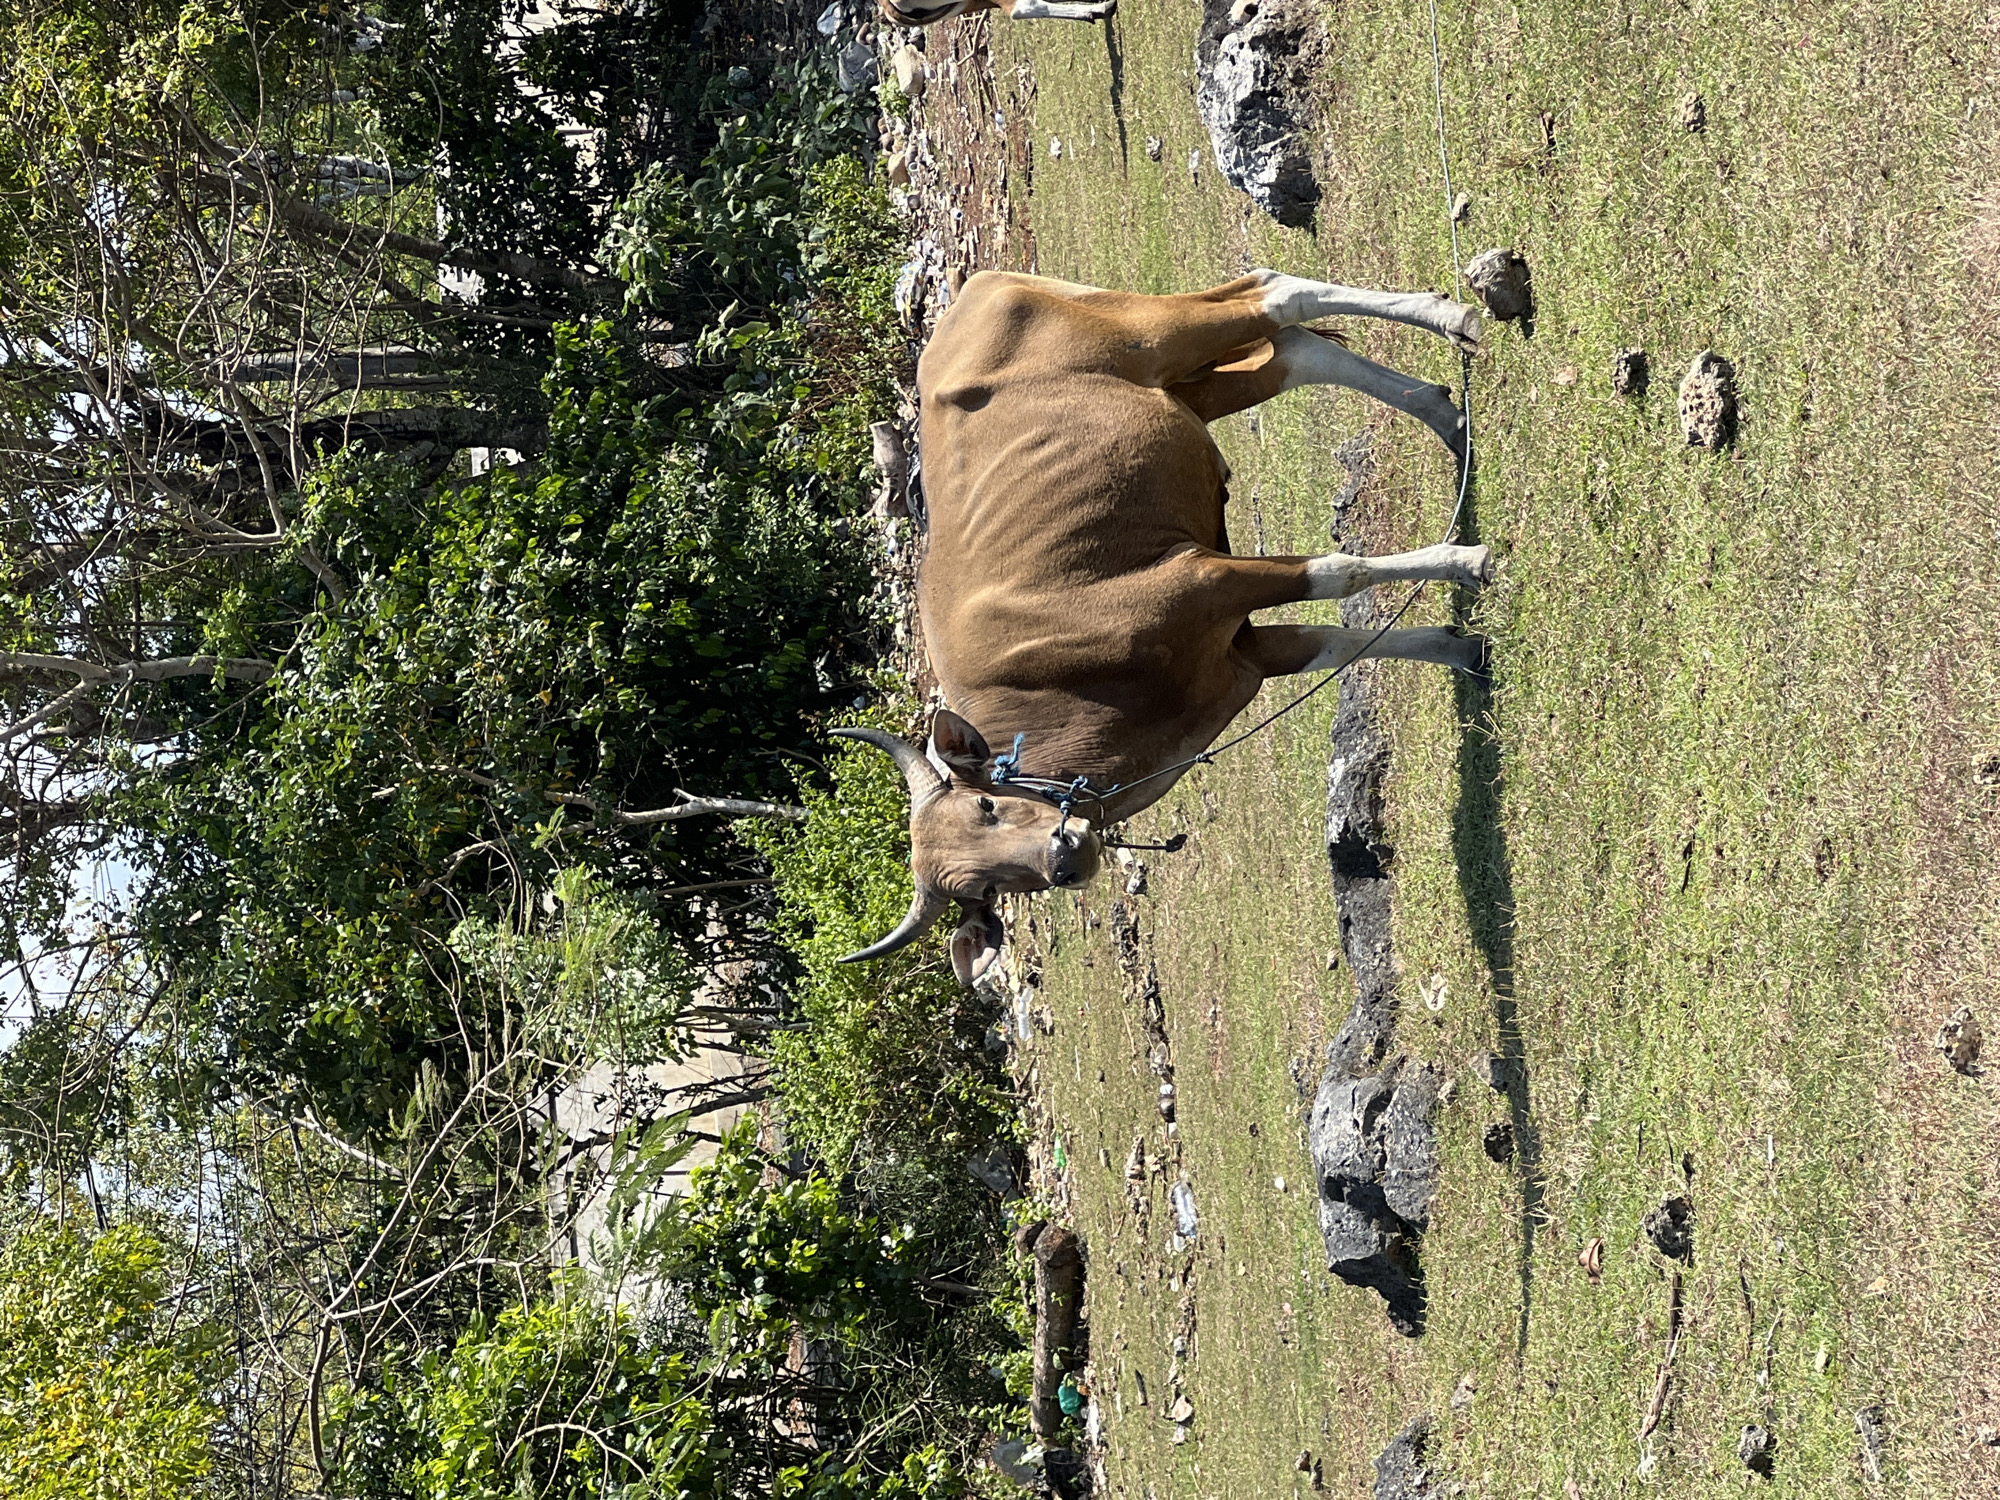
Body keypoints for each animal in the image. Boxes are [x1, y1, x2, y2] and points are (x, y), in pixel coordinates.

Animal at [836, 268, 1493, 984]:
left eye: (987, 804)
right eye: (986, 885)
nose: (1062, 859)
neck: (1061, 693)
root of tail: (971, 296)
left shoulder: (1205, 579)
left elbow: (1340, 571)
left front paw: (1470, 562)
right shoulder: (1245, 653)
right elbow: (1339, 647)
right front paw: (1462, 649)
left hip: (1152, 338)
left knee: (1273, 293)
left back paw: (1458, 320)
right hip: (1179, 394)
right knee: (1291, 352)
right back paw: (1450, 417)